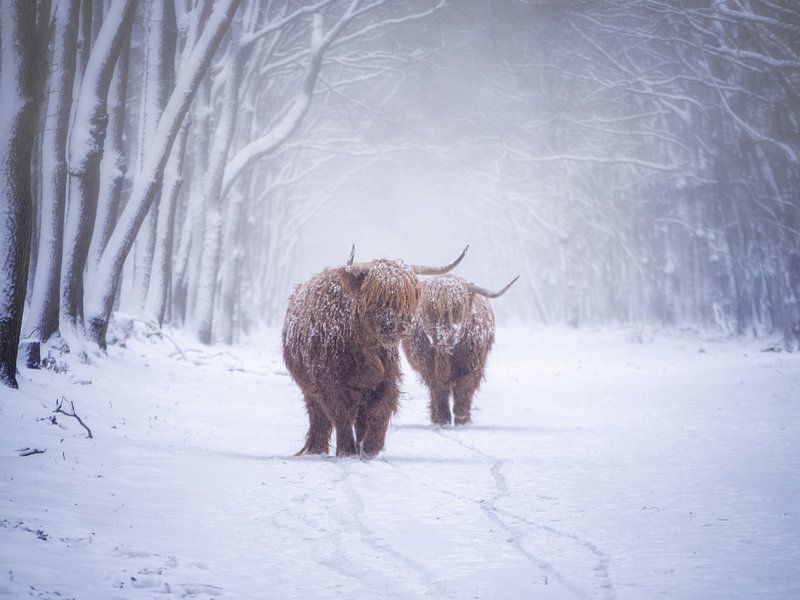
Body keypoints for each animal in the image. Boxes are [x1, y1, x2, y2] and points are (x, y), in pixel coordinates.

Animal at [282, 246, 466, 458]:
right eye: (379, 295)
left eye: (407, 295)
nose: (400, 324)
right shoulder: (330, 381)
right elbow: (341, 413)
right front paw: (347, 450)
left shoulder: (387, 378)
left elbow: (379, 411)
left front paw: (371, 447)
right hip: (309, 385)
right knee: (318, 414)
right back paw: (316, 449)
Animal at [400, 274, 520, 424]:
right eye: (431, 309)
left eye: (457, 309)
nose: (444, 337)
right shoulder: (427, 367)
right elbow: (438, 391)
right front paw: (442, 419)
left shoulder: (471, 366)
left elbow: (463, 390)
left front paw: (462, 419)